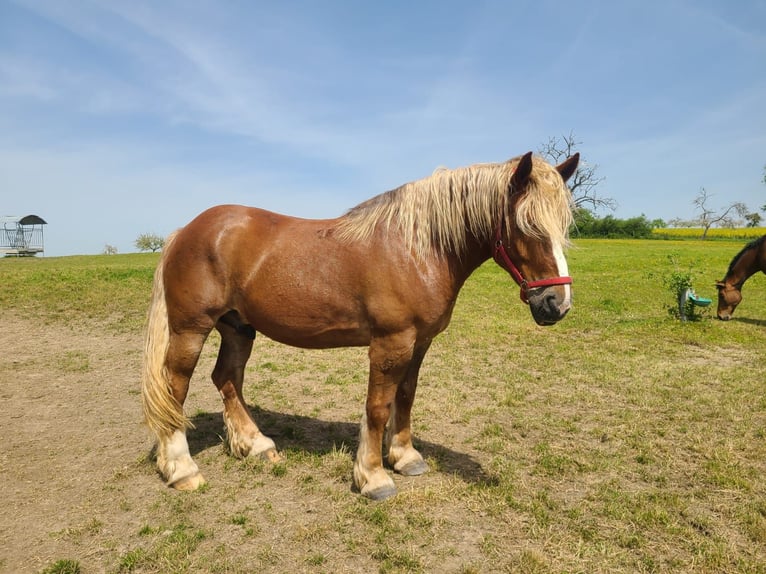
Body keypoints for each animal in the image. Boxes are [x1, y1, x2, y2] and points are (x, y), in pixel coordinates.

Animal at [141, 151, 580, 502]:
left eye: (563, 226)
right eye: (526, 225)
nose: (556, 304)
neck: (416, 249)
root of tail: (185, 232)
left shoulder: (419, 342)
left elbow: (406, 396)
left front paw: (405, 457)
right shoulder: (391, 343)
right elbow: (378, 406)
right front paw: (373, 477)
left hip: (237, 328)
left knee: (227, 378)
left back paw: (255, 445)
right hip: (191, 329)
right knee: (176, 387)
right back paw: (181, 469)